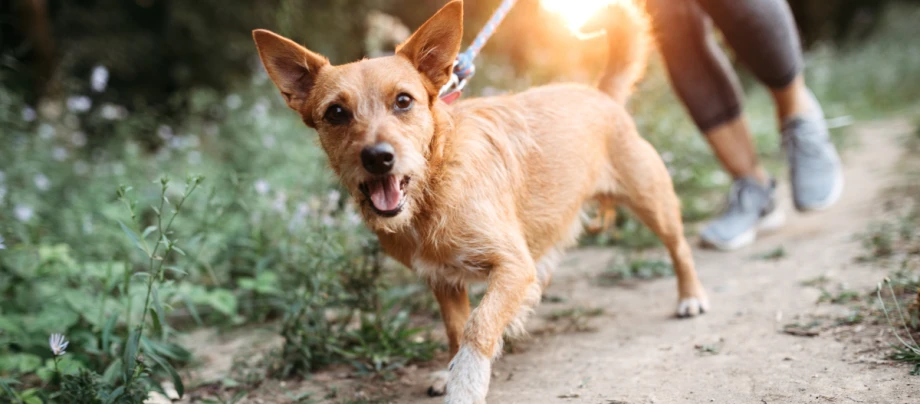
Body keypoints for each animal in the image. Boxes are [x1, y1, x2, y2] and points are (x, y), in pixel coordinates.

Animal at [252, 2, 712, 400]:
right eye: (335, 113)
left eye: (403, 101)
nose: (378, 157)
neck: (433, 188)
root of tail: (599, 94)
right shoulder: (444, 281)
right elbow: (458, 329)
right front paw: (454, 370)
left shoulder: (511, 265)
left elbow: (479, 324)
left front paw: (466, 384)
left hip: (651, 199)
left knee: (679, 246)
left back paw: (690, 296)